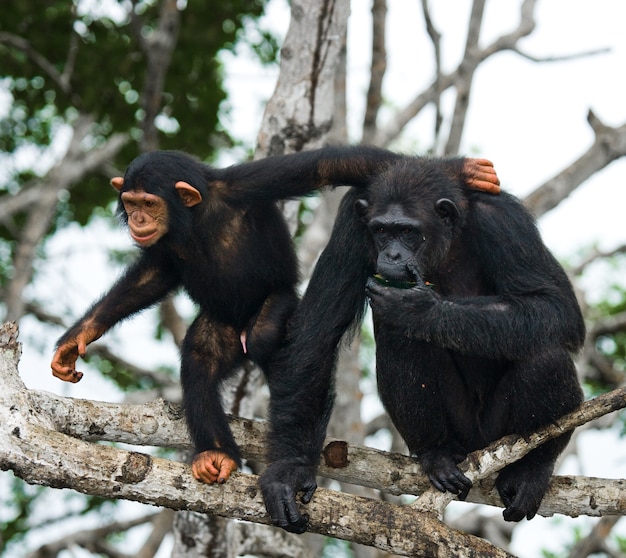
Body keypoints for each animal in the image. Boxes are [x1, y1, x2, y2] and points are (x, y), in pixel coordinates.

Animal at [50, 147, 498, 488]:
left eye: (148, 203)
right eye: (130, 203)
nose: (138, 219)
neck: (195, 218)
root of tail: (240, 331)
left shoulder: (249, 184)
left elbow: (326, 165)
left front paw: (461, 170)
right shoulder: (163, 250)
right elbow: (149, 279)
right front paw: (77, 338)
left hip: (276, 306)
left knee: (267, 337)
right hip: (220, 325)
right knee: (200, 361)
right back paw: (216, 453)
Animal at [260, 155, 584, 532]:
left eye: (408, 232)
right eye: (381, 231)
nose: (392, 255)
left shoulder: (506, 223)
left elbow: (556, 306)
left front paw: (420, 309)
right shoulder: (351, 227)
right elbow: (317, 332)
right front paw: (290, 471)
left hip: (496, 433)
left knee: (546, 357)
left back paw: (531, 470)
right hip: (460, 432)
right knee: (398, 337)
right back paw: (437, 454)